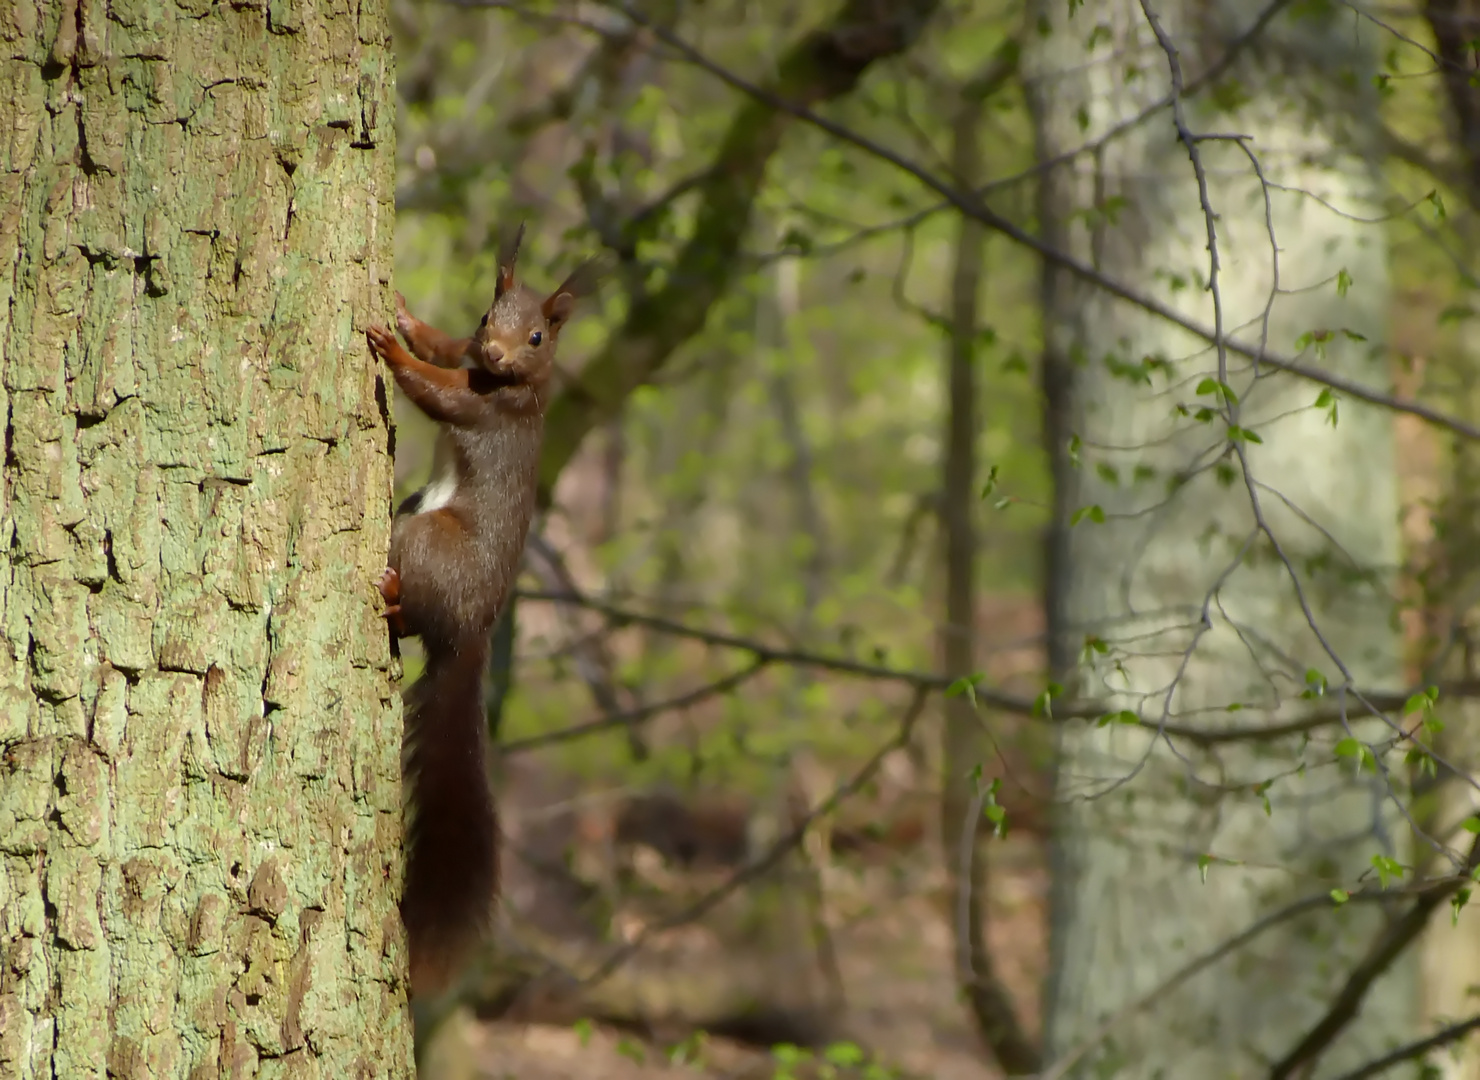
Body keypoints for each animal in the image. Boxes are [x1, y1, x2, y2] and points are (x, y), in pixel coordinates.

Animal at [362, 224, 594, 994]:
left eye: (538, 336)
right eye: (488, 316)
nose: (495, 351)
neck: (509, 382)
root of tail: (471, 633)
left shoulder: (488, 409)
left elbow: (435, 393)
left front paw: (391, 346)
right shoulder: (466, 357)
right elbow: (442, 347)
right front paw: (407, 318)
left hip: (424, 538)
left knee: (411, 605)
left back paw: (391, 594)